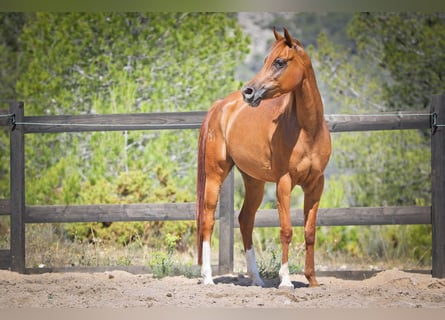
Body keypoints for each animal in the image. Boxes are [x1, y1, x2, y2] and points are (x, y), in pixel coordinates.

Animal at [195, 26, 330, 288]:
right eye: (266, 59)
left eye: (279, 62)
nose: (248, 92)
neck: (308, 131)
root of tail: (220, 106)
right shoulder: (284, 183)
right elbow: (286, 230)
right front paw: (285, 280)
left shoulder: (316, 185)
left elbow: (310, 232)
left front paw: (312, 280)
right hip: (215, 176)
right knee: (207, 220)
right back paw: (207, 278)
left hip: (254, 181)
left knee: (246, 220)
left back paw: (256, 279)